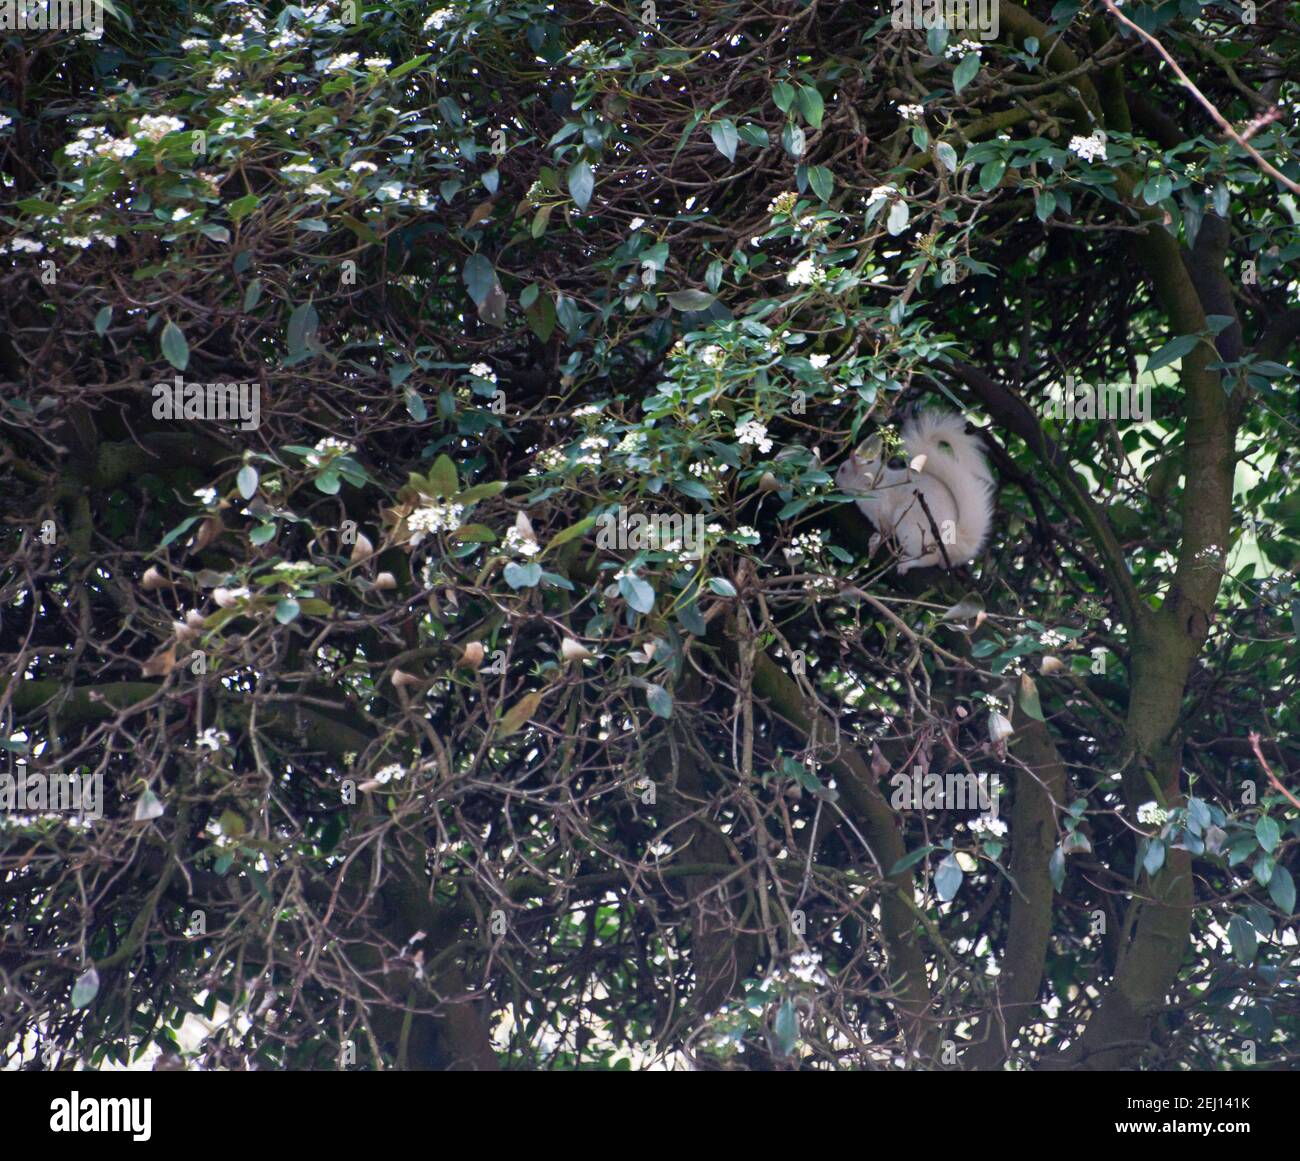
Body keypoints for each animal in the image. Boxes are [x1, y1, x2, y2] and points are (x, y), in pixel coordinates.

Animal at [835, 409, 995, 574]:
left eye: (843, 470)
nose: (834, 479)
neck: (873, 481)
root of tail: (953, 543)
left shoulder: (879, 509)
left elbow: (885, 530)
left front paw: (876, 540)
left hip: (911, 527)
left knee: (931, 558)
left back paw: (908, 564)